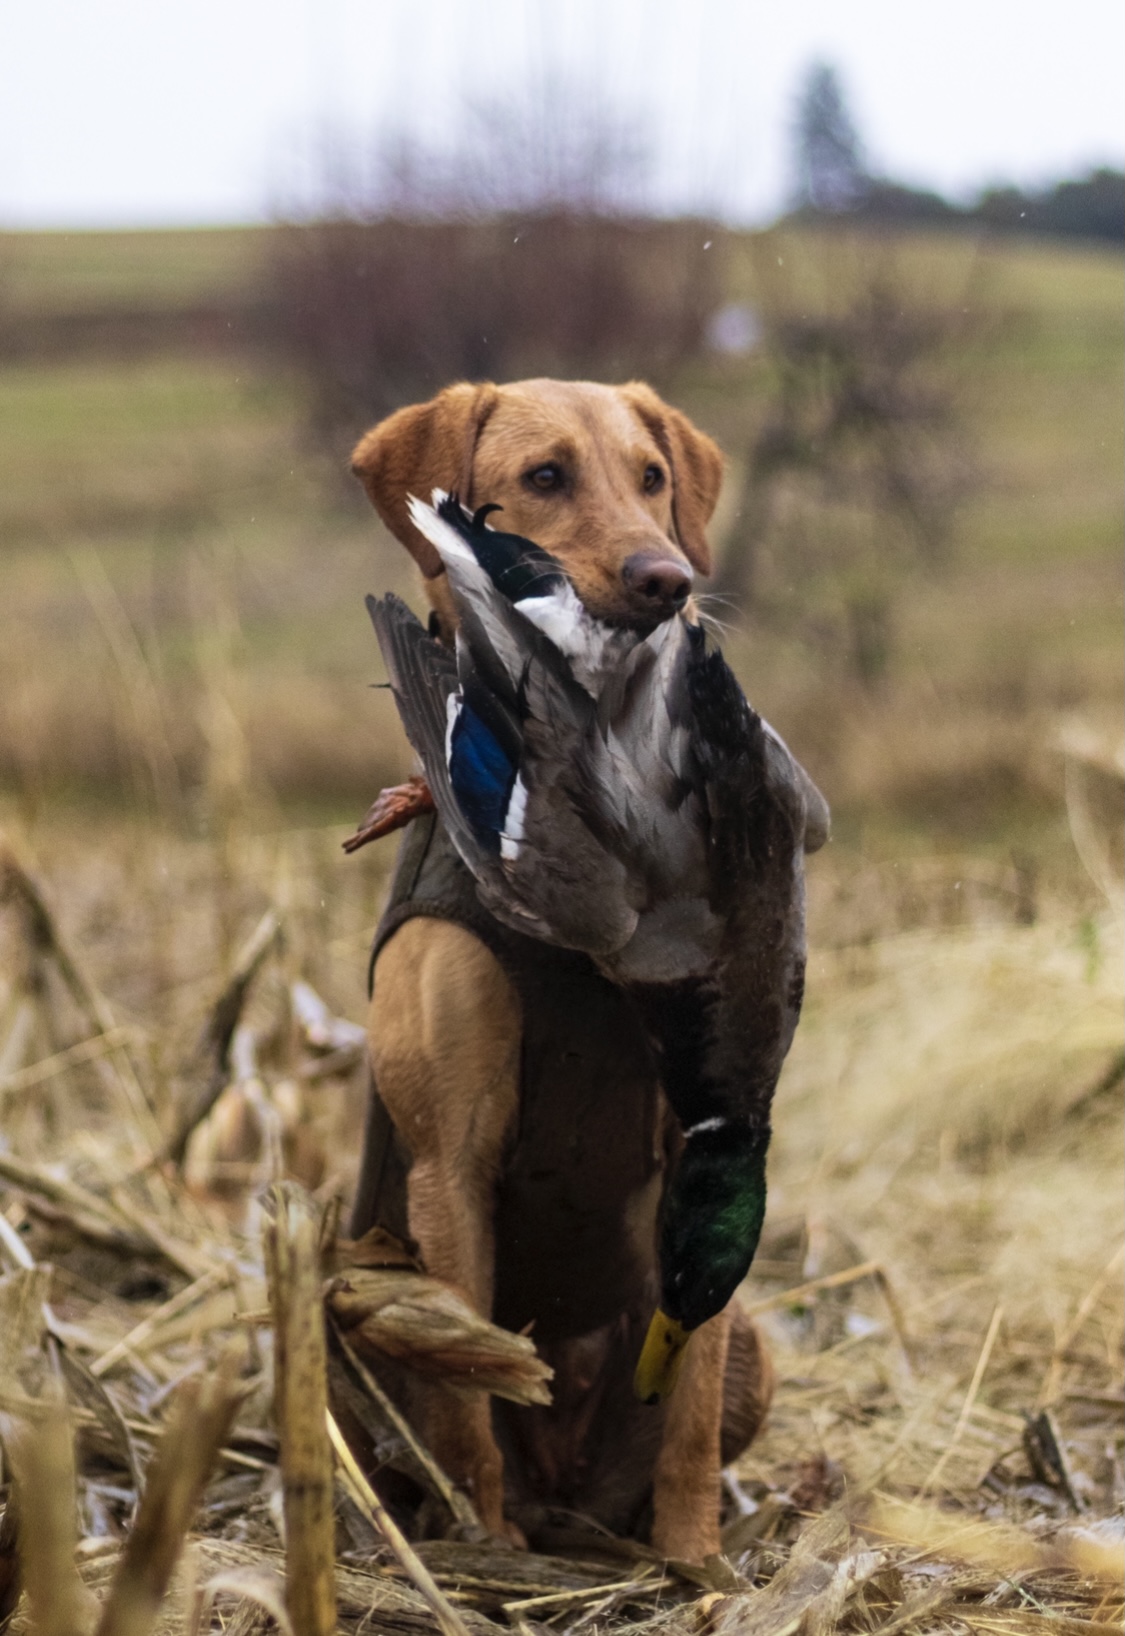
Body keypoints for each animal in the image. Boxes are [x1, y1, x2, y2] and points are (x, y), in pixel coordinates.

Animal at [349, 379, 771, 1557]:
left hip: (753, 1345)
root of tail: (566, 1482)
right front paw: (482, 1551)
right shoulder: (451, 1163)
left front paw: (694, 1563)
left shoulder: (694, 1163)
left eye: (653, 477)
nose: (668, 582)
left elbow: (688, 1414)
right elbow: (468, 1400)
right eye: (545, 476)